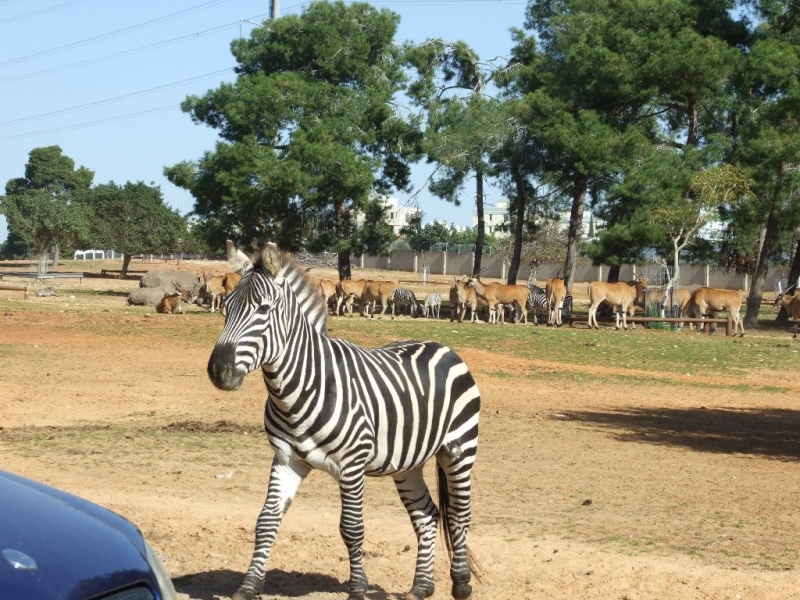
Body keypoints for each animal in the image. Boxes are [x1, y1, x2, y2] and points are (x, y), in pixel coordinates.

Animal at [208, 244, 482, 600]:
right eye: (226, 308)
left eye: (264, 309)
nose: (218, 371)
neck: (299, 388)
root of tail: (442, 346)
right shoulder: (286, 459)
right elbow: (266, 521)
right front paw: (248, 587)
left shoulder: (352, 464)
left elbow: (352, 529)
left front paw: (357, 588)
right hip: (408, 462)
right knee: (427, 515)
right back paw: (421, 587)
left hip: (459, 448)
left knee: (459, 515)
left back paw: (461, 583)